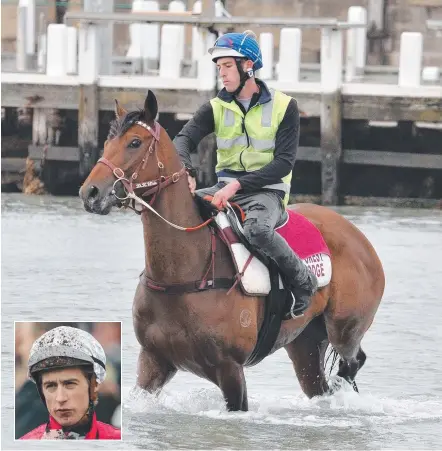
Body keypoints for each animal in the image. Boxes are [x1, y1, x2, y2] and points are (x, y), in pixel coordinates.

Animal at [81, 90, 386, 412]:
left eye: (135, 142)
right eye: (106, 143)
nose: (90, 193)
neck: (185, 271)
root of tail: (360, 239)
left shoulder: (230, 369)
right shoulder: (153, 360)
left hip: (344, 329)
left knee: (352, 362)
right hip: (305, 345)